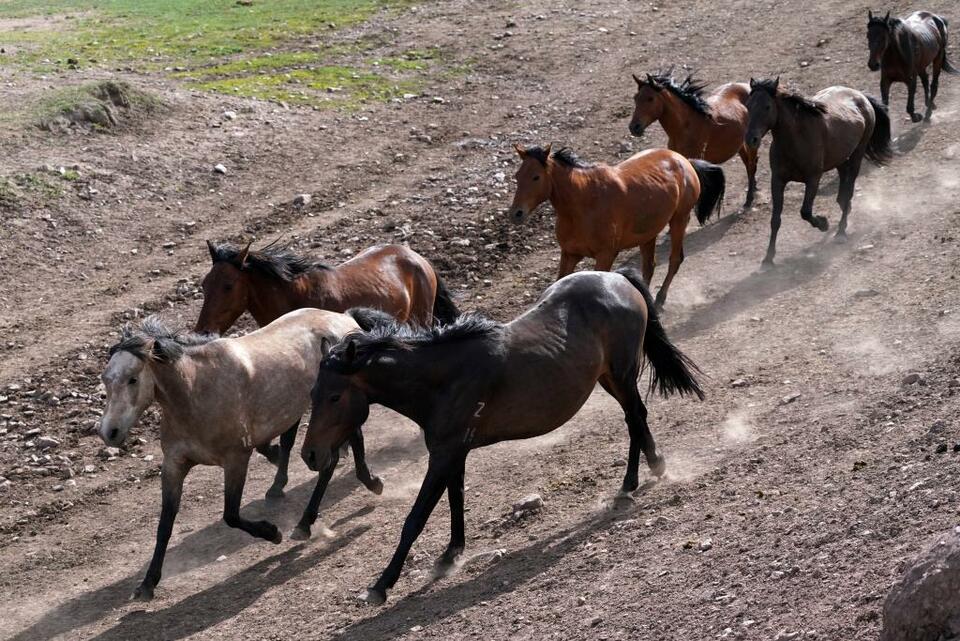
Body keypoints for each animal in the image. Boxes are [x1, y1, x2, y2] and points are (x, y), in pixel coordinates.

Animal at [195, 240, 458, 336]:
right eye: (204, 284)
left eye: (228, 286)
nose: (202, 331)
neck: (296, 297)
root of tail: (418, 258)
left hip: (421, 319)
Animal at [300, 262, 704, 604]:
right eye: (312, 393)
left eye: (335, 396)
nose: (310, 455)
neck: (443, 378)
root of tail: (617, 277)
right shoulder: (455, 452)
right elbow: (456, 500)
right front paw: (451, 555)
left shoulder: (444, 454)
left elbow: (415, 518)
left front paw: (381, 586)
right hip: (608, 377)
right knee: (635, 418)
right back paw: (646, 471)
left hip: (622, 373)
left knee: (635, 417)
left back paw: (635, 481)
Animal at [506, 144, 724, 308]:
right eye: (517, 176)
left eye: (536, 176)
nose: (516, 213)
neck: (583, 203)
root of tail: (684, 160)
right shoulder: (569, 254)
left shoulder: (606, 255)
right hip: (648, 234)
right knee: (649, 267)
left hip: (679, 220)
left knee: (675, 260)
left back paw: (660, 300)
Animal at [632, 72, 756, 208]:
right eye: (635, 98)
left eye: (650, 98)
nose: (634, 127)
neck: (686, 126)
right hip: (740, 144)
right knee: (747, 162)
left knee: (752, 164)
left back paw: (749, 199)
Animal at [744, 78, 892, 268]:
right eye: (748, 105)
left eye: (767, 107)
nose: (751, 139)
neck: (796, 140)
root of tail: (861, 96)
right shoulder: (777, 181)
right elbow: (775, 220)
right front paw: (768, 259)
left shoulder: (813, 179)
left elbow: (805, 212)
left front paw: (824, 223)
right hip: (840, 159)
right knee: (843, 191)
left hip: (857, 156)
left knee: (848, 191)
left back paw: (841, 232)